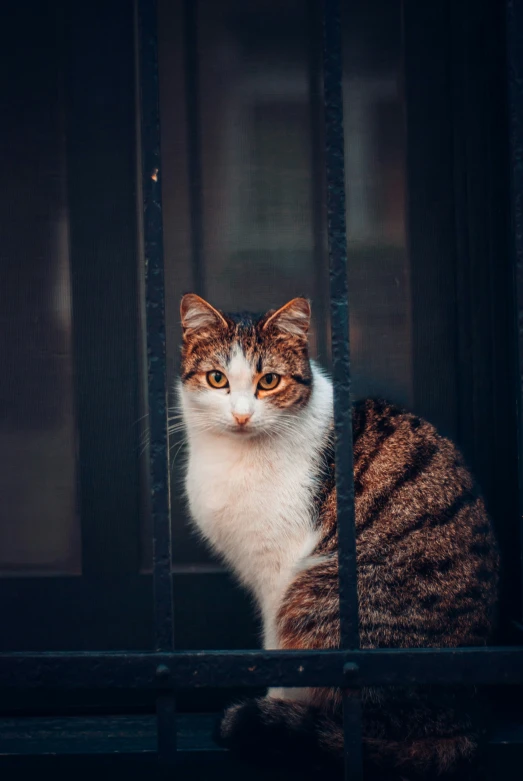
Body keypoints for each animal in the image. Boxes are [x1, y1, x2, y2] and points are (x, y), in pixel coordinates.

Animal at [179, 294, 500, 780]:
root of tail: (466, 722)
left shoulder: (280, 575)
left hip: (316, 593)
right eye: (218, 379)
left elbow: (278, 649)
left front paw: (274, 705)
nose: (241, 415)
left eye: (268, 381)